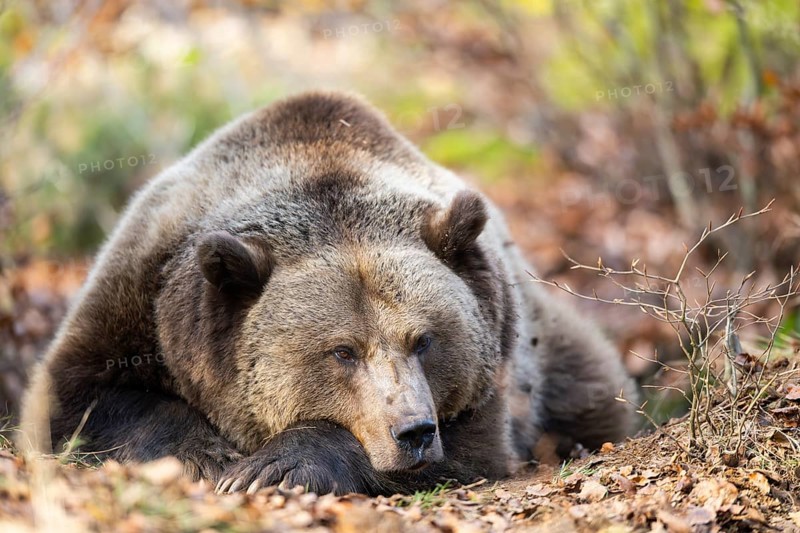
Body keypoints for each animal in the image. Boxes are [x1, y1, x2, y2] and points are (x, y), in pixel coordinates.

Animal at [19, 91, 638, 495]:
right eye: (342, 351)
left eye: (424, 340)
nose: (414, 431)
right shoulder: (146, 291)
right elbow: (75, 398)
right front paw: (211, 455)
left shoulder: (493, 370)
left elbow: (473, 448)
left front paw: (276, 466)